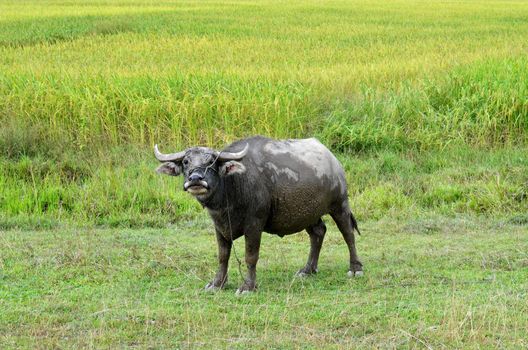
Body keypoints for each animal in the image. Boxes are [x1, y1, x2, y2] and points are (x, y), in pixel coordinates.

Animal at [155, 135, 364, 294]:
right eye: (186, 162)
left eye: (211, 162)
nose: (196, 179)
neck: (232, 188)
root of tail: (333, 160)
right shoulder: (219, 227)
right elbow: (223, 256)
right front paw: (216, 284)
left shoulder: (254, 225)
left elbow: (250, 256)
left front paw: (248, 287)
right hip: (308, 214)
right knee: (318, 232)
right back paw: (307, 270)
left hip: (340, 205)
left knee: (348, 233)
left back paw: (355, 268)